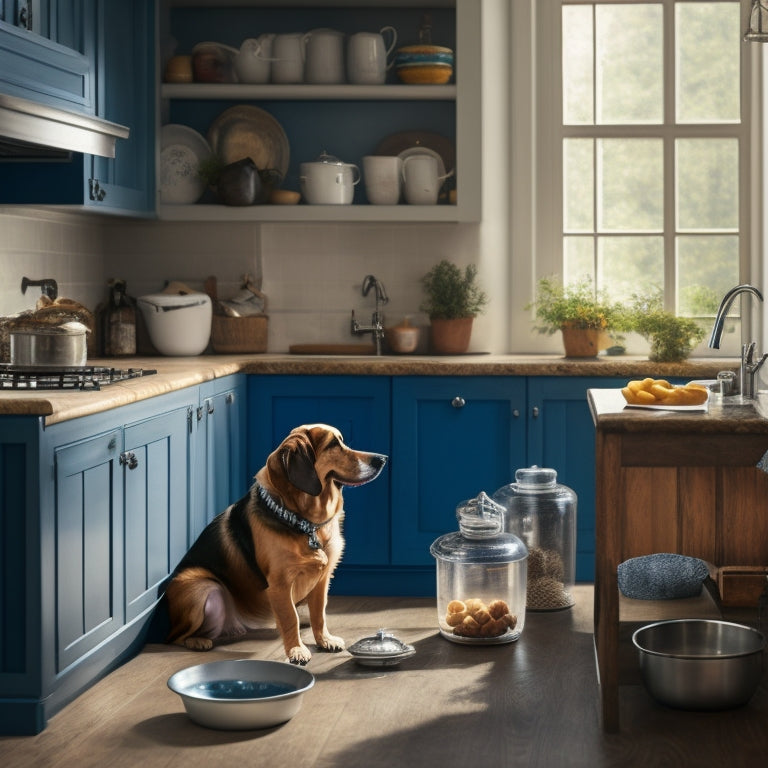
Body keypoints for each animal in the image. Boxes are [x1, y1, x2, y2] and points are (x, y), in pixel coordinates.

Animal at [165, 424, 388, 664]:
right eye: (332, 444)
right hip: (201, 586)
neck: (306, 523)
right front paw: (297, 651)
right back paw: (198, 641)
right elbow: (290, 618)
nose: (382, 459)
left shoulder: (322, 580)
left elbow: (319, 614)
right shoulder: (280, 585)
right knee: (175, 636)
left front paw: (324, 640)